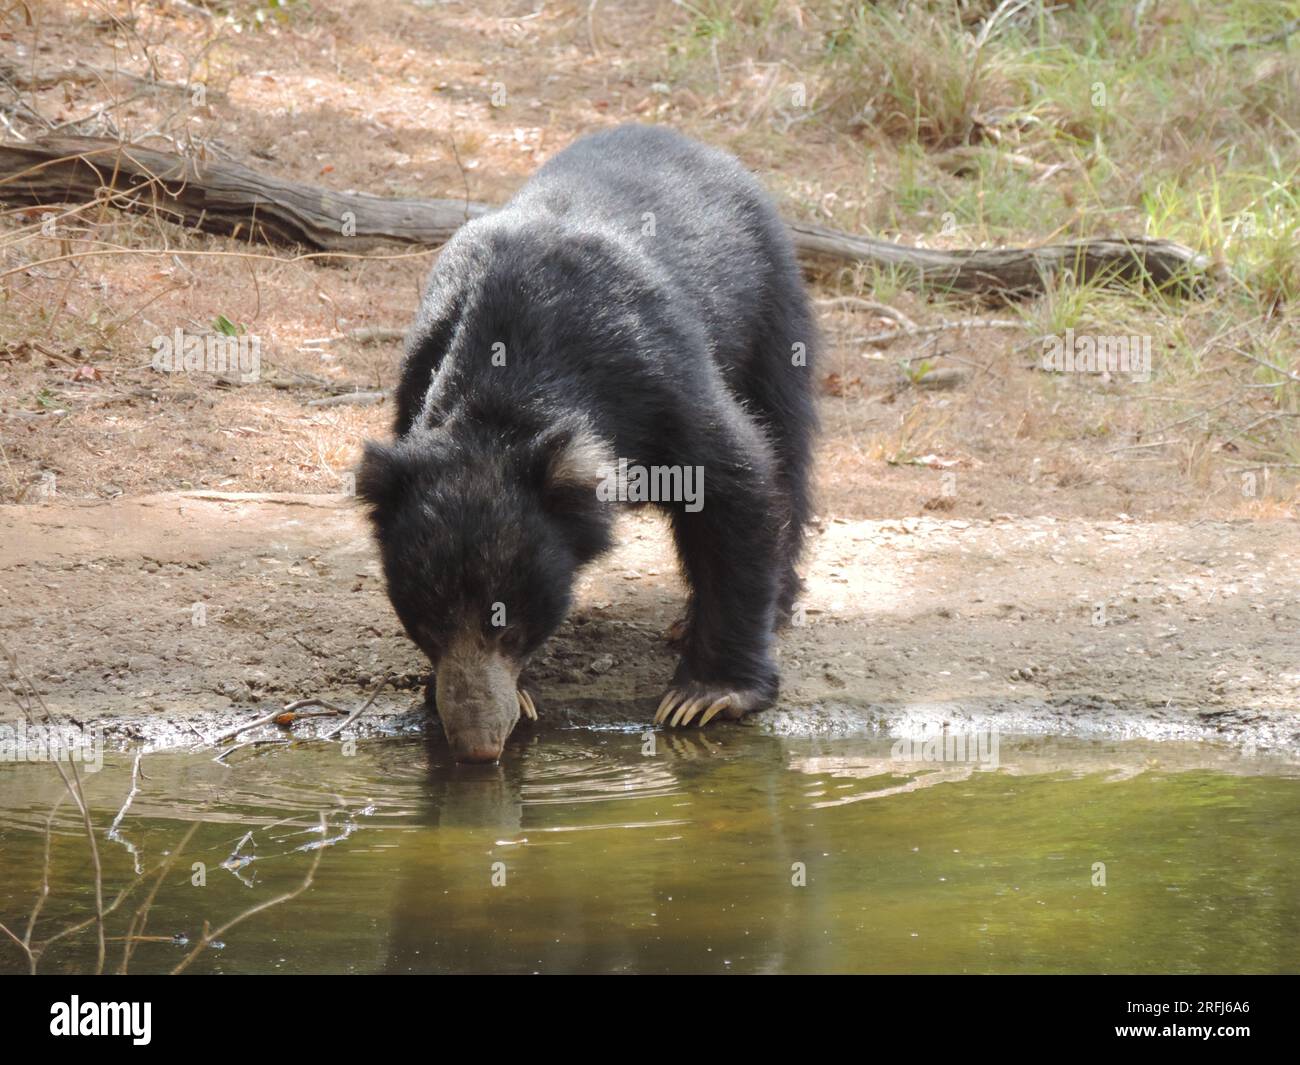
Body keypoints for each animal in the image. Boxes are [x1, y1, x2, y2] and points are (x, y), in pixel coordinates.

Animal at [357, 124, 817, 763]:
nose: (478, 747)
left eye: (509, 627)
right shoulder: (417, 373)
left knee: (786, 438)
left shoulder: (656, 375)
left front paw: (706, 695)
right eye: (426, 625)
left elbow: (734, 479)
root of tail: (695, 145)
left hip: (771, 304)